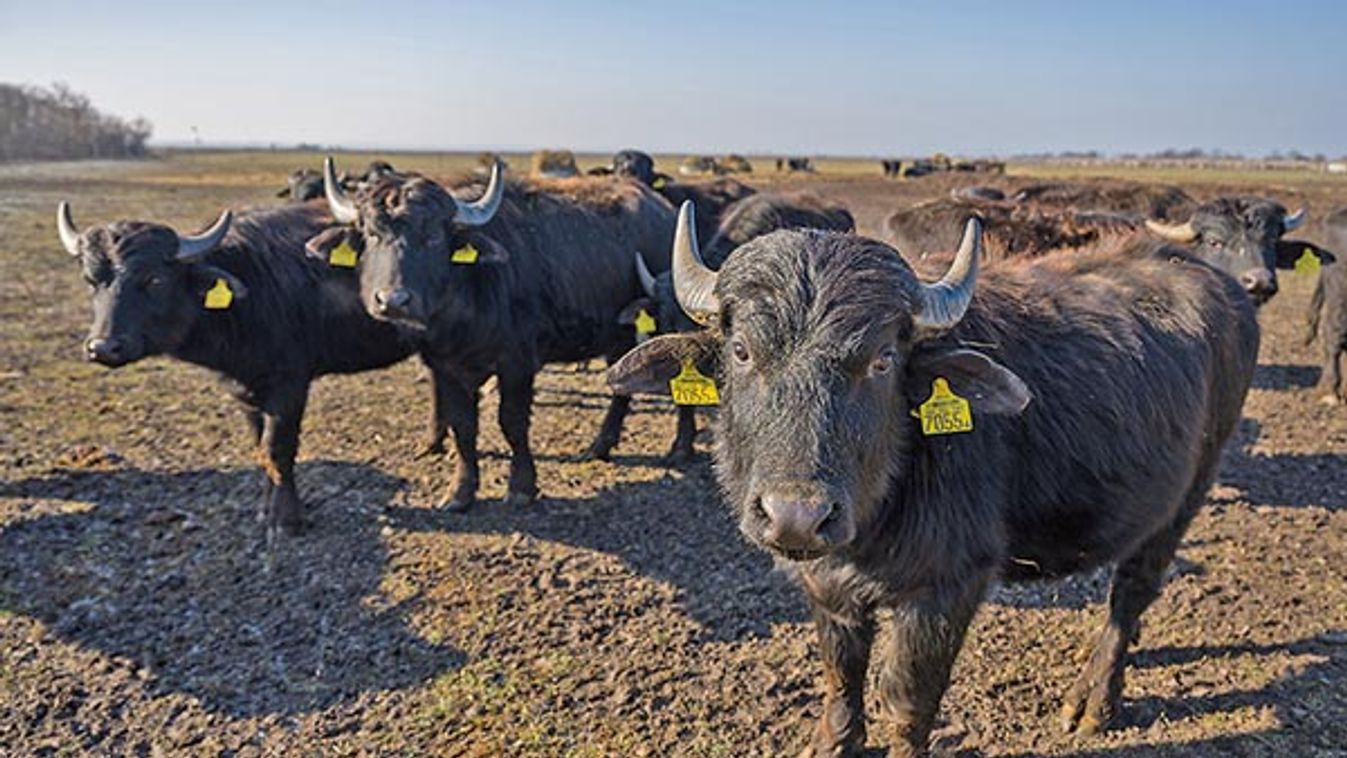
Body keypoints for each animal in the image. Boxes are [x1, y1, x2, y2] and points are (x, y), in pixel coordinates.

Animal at [57, 200, 420, 533]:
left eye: (155, 280)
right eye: (90, 280)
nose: (103, 347)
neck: (254, 287)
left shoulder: (290, 385)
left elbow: (278, 448)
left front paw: (286, 519)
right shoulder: (244, 390)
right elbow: (260, 448)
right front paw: (264, 509)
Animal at [312, 158, 673, 508]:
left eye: (433, 237)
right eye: (372, 234)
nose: (392, 300)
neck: (463, 308)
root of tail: (665, 211)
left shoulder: (517, 364)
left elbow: (512, 422)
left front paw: (521, 487)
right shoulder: (445, 369)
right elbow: (463, 426)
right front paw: (460, 492)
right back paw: (599, 447)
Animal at [611, 203, 1260, 758]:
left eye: (881, 361)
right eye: (743, 351)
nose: (797, 516)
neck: (877, 508)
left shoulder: (948, 584)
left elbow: (908, 700)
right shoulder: (827, 584)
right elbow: (841, 674)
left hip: (1184, 497)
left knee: (1131, 592)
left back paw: (1093, 700)